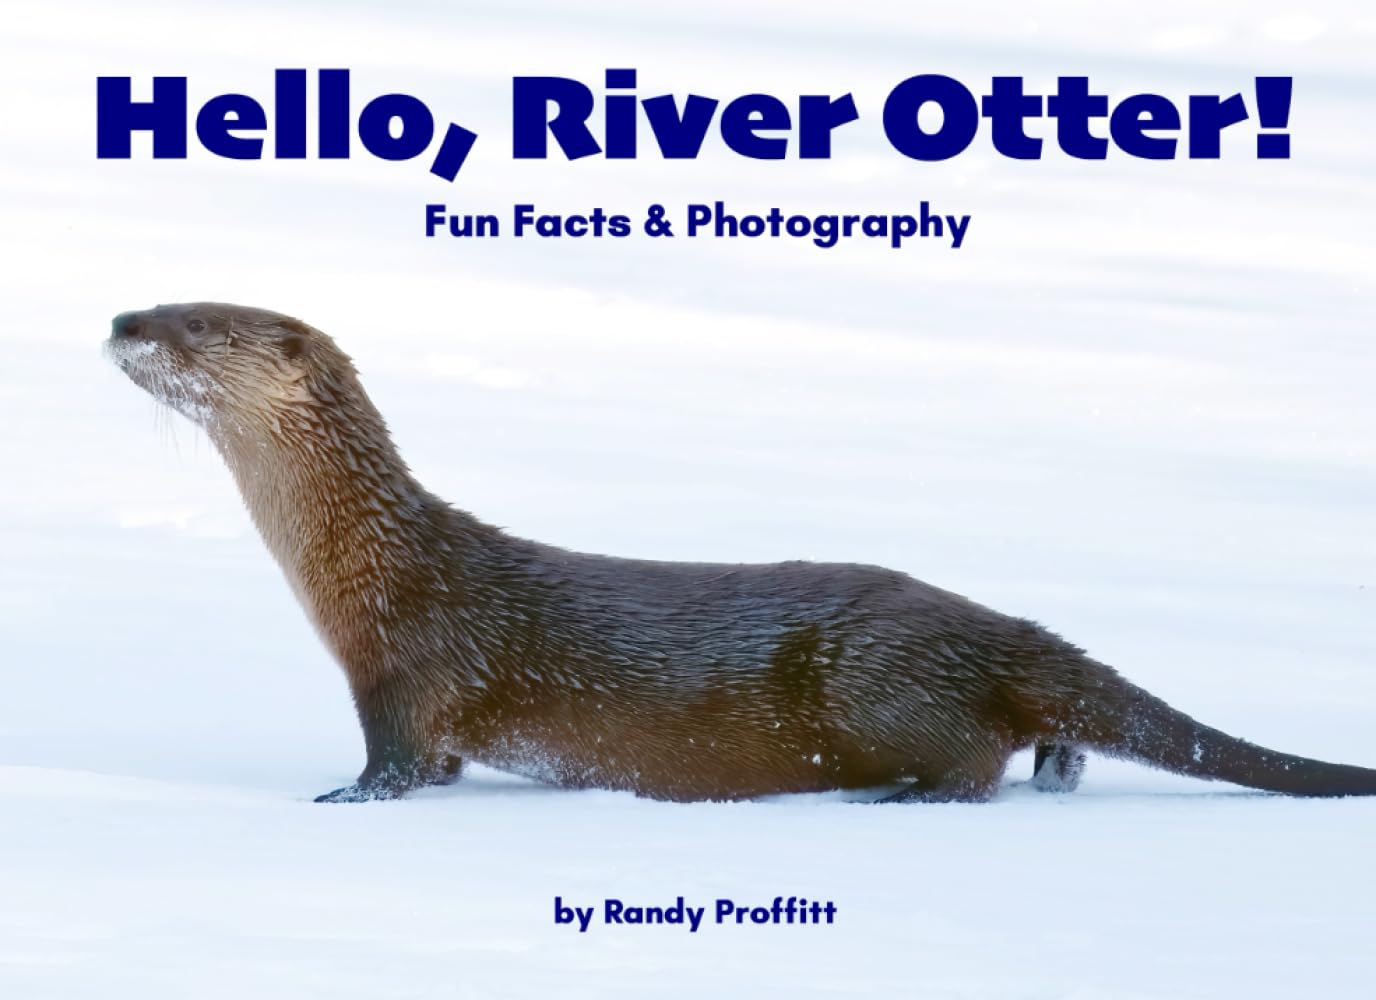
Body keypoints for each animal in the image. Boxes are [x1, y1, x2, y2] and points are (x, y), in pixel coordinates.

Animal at [106, 302, 1376, 803]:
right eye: (164, 298)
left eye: (200, 323)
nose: (124, 318)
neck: (374, 566)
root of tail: (995, 627)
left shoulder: (410, 673)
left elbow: (402, 765)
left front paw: (336, 797)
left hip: (878, 678)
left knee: (971, 763)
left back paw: (896, 795)